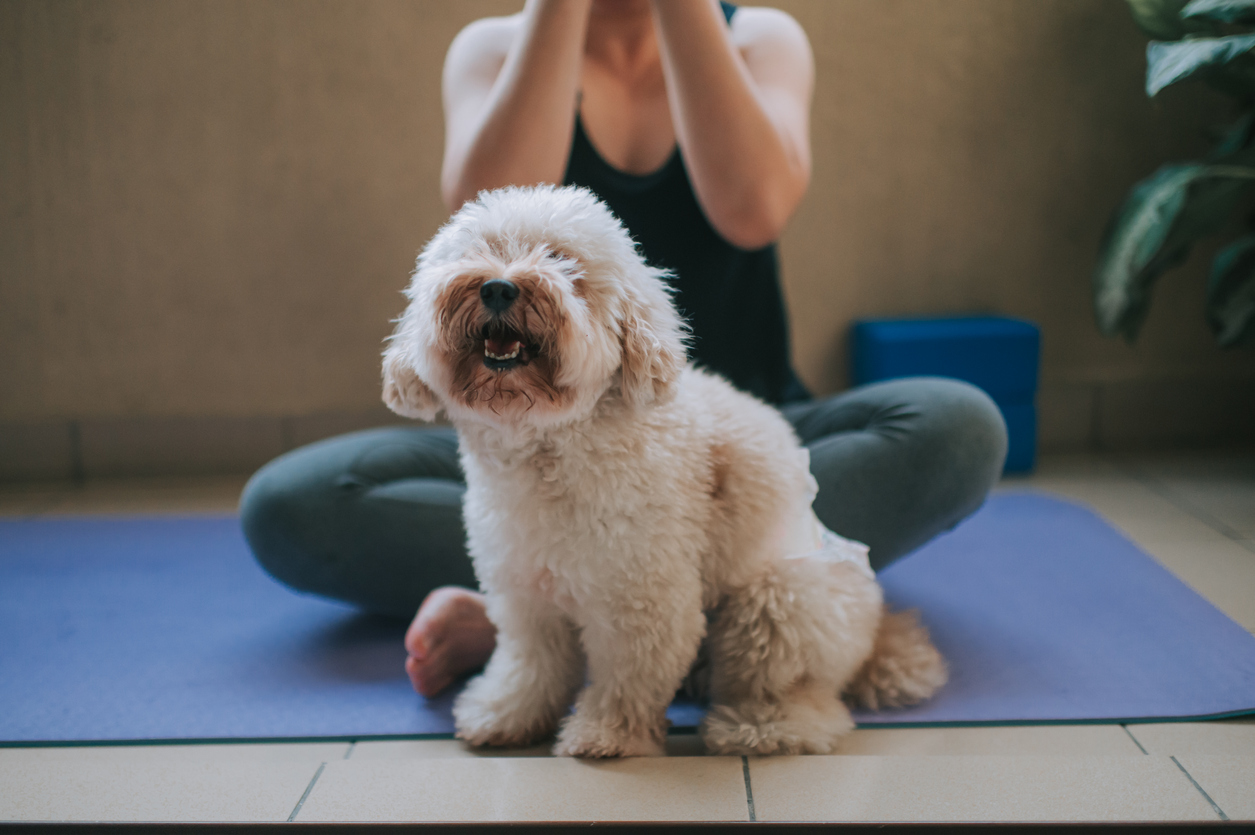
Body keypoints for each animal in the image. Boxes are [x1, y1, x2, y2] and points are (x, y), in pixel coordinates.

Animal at [381, 185, 943, 758]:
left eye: (561, 261)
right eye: (479, 251)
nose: (498, 287)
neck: (547, 448)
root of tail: (876, 633)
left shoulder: (644, 595)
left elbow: (629, 676)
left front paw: (607, 733)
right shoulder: (525, 588)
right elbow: (531, 664)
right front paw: (507, 714)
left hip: (778, 600)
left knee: (796, 695)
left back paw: (758, 726)